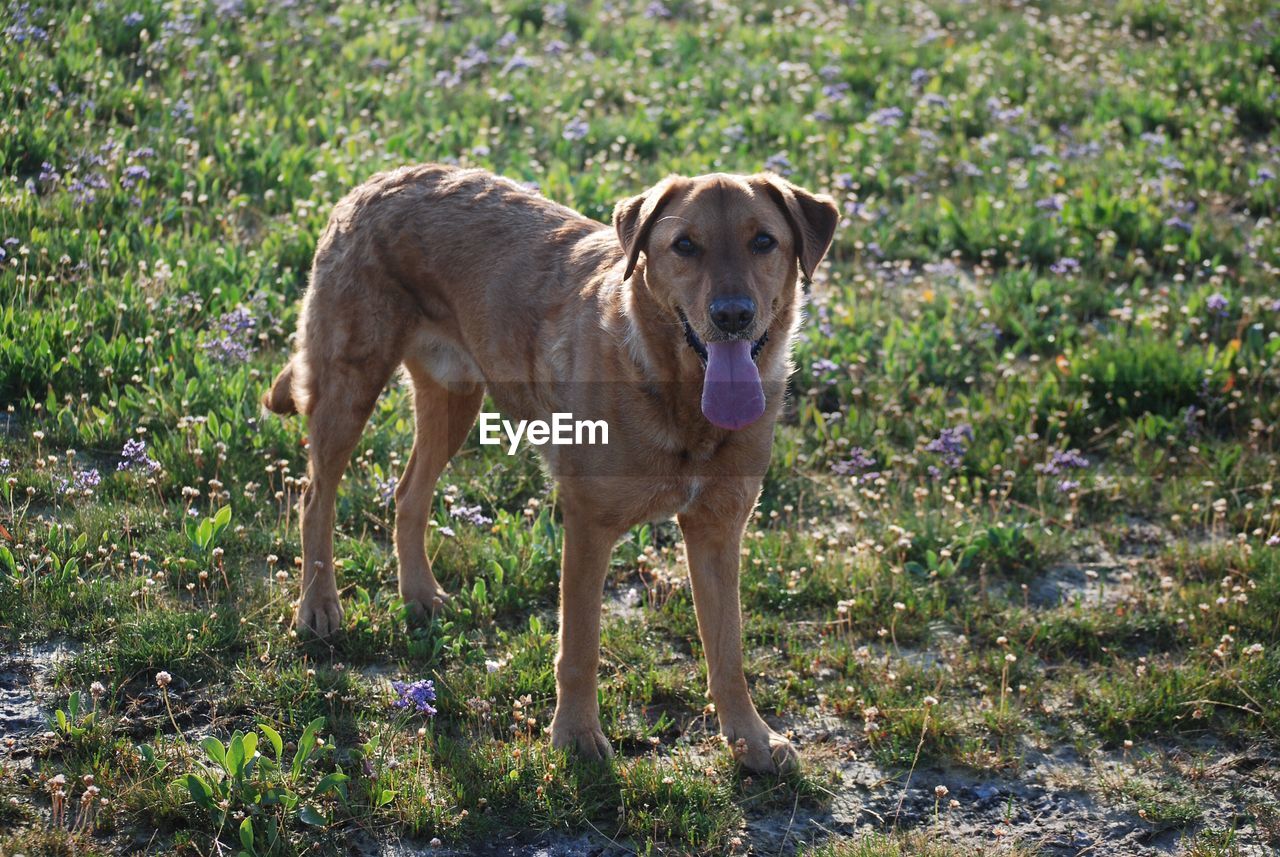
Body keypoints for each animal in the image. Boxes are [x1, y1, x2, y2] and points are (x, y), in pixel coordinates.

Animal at [262, 165, 839, 777]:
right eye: (685, 246)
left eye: (763, 242)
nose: (733, 315)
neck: (680, 400)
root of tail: (377, 178)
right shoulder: (588, 526)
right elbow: (580, 647)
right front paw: (577, 738)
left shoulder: (719, 529)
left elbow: (728, 650)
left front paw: (750, 739)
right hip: (350, 384)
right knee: (315, 497)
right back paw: (318, 607)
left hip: (453, 398)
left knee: (406, 494)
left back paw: (419, 594)